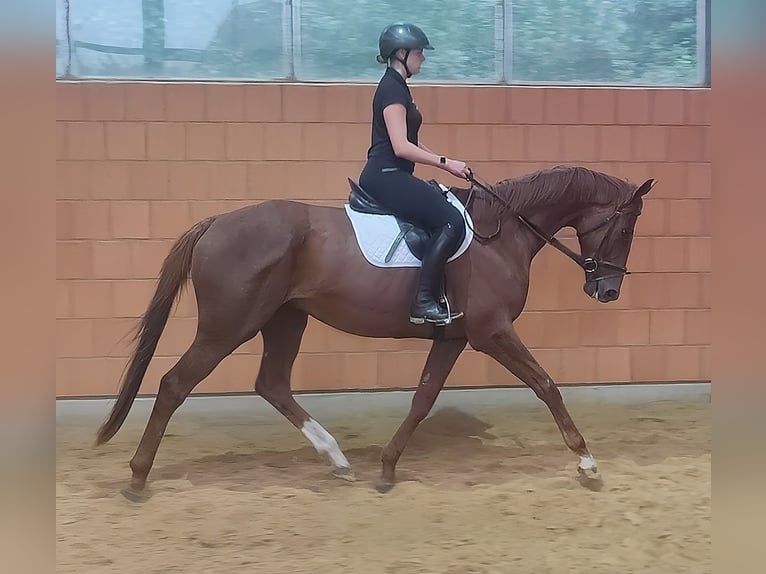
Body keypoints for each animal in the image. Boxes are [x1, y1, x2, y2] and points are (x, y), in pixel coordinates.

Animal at [94, 164, 654, 499]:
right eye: (626, 228)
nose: (608, 291)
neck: (500, 235)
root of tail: (215, 224)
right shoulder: (492, 332)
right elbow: (546, 385)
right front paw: (587, 462)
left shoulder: (454, 338)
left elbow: (423, 399)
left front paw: (386, 468)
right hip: (229, 326)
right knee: (174, 385)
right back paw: (138, 477)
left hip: (285, 319)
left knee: (272, 384)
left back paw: (337, 458)